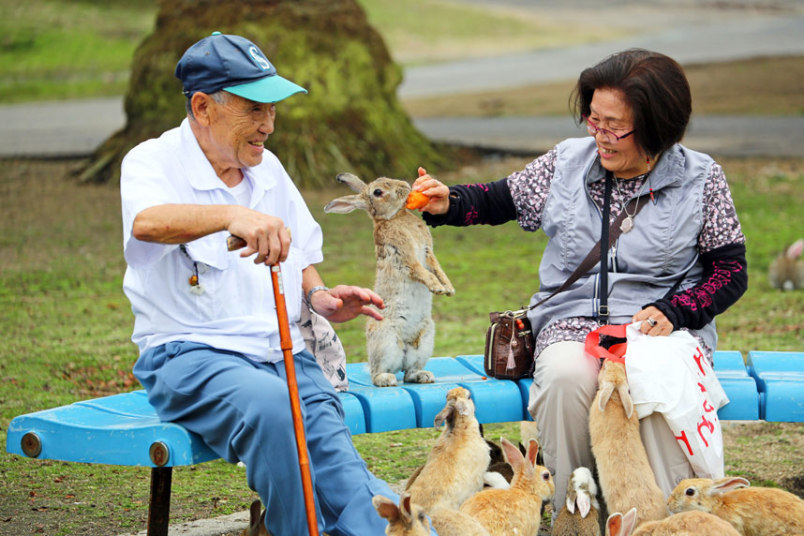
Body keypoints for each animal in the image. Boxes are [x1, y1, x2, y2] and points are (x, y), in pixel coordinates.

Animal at [324, 172, 456, 386]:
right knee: (378, 373)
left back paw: (423, 375)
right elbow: (423, 272)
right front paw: (437, 288)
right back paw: (387, 379)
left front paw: (448, 289)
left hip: (425, 339)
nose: (405, 186)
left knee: (409, 372)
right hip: (386, 341)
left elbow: (437, 268)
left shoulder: (428, 252)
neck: (394, 217)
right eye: (377, 192)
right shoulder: (405, 256)